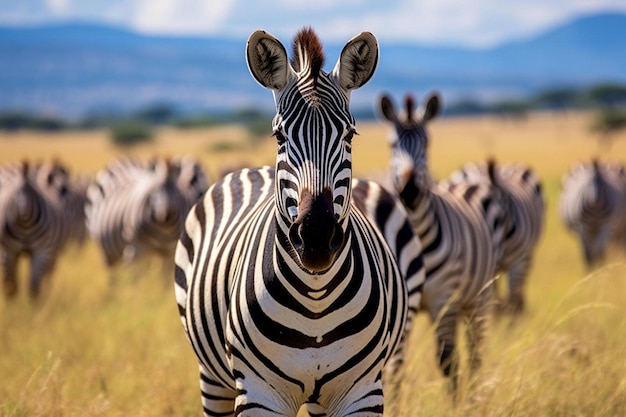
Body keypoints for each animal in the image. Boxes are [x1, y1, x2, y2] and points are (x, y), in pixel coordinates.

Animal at [0, 159, 71, 300]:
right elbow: (13, 287)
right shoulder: (9, 252)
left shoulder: (42, 251)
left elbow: (34, 286)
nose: (65, 191)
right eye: (51, 177)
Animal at [85, 154, 208, 282]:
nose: (165, 216)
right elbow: (135, 277)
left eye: (176, 192)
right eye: (154, 192)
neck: (164, 229)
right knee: (112, 273)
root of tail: (122, 161)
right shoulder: (136, 248)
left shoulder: (170, 251)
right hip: (108, 249)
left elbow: (165, 279)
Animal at [173, 27, 422, 414]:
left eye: (350, 135)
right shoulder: (259, 393)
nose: (317, 236)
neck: (315, 301)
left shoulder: (363, 391)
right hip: (212, 378)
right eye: (279, 135)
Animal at [376, 92, 502, 394]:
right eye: (392, 144)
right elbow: (395, 366)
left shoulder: (444, 300)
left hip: (479, 296)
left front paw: (457, 401)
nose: (409, 191)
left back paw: (474, 396)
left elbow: (448, 360)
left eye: (427, 143)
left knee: (475, 351)